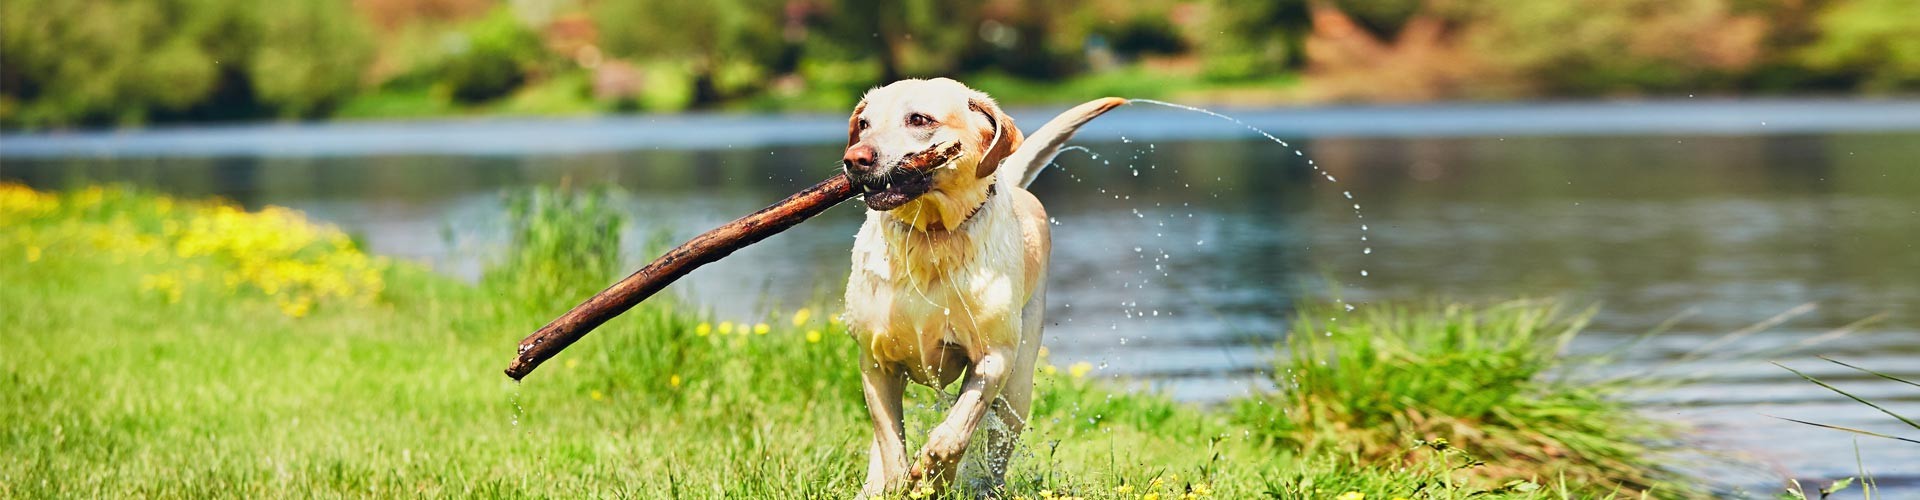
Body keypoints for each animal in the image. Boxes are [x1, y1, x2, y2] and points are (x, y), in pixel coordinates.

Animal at [840, 77, 1121, 496]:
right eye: (864, 124)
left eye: (919, 119)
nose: (855, 159)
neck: (932, 236)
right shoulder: (875, 362)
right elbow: (890, 442)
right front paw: (898, 482)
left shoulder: (994, 357)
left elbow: (956, 431)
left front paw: (933, 474)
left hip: (1018, 385)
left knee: (998, 440)